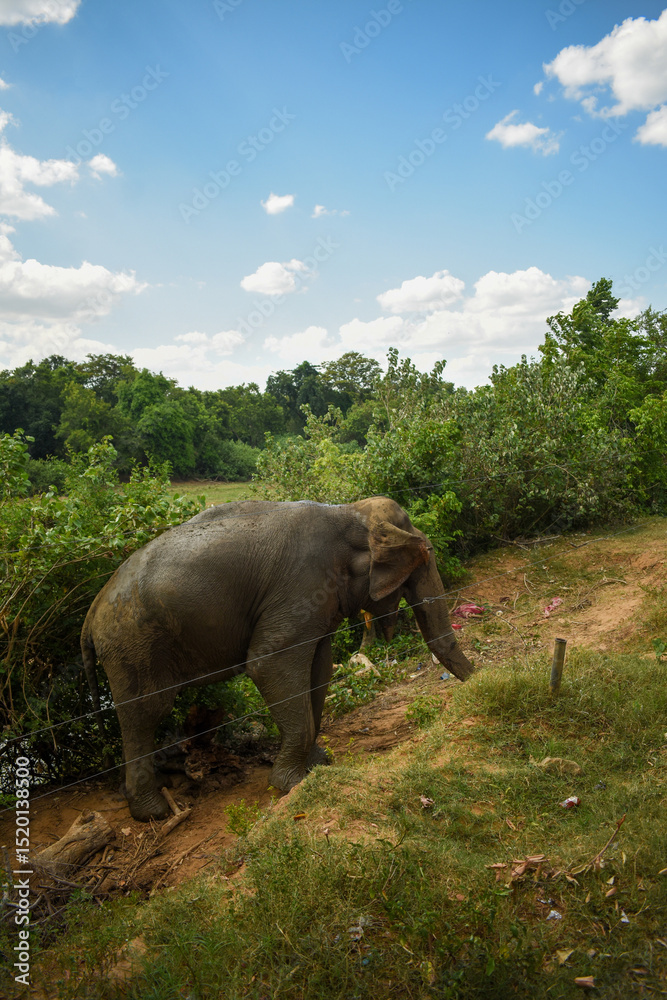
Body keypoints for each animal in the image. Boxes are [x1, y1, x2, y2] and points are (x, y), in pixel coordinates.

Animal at [81, 496, 474, 821]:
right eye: (424, 558)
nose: (481, 680)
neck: (348, 511)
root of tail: (90, 616)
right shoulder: (301, 585)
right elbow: (268, 663)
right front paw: (292, 784)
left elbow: (319, 668)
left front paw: (318, 764)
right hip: (133, 644)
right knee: (146, 712)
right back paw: (154, 813)